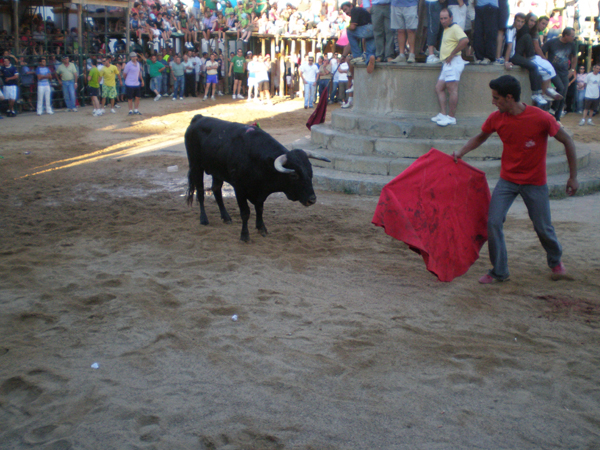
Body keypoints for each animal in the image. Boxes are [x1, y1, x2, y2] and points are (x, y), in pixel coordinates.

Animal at [184, 116, 330, 243]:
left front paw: (262, 228)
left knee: (216, 190)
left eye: (310, 172)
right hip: (196, 166)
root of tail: (199, 117)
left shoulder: (260, 193)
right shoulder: (240, 189)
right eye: (294, 175)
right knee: (200, 192)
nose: (312, 199)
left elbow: (259, 209)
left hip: (217, 171)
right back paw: (204, 219)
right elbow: (245, 212)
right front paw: (245, 235)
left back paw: (226, 217)